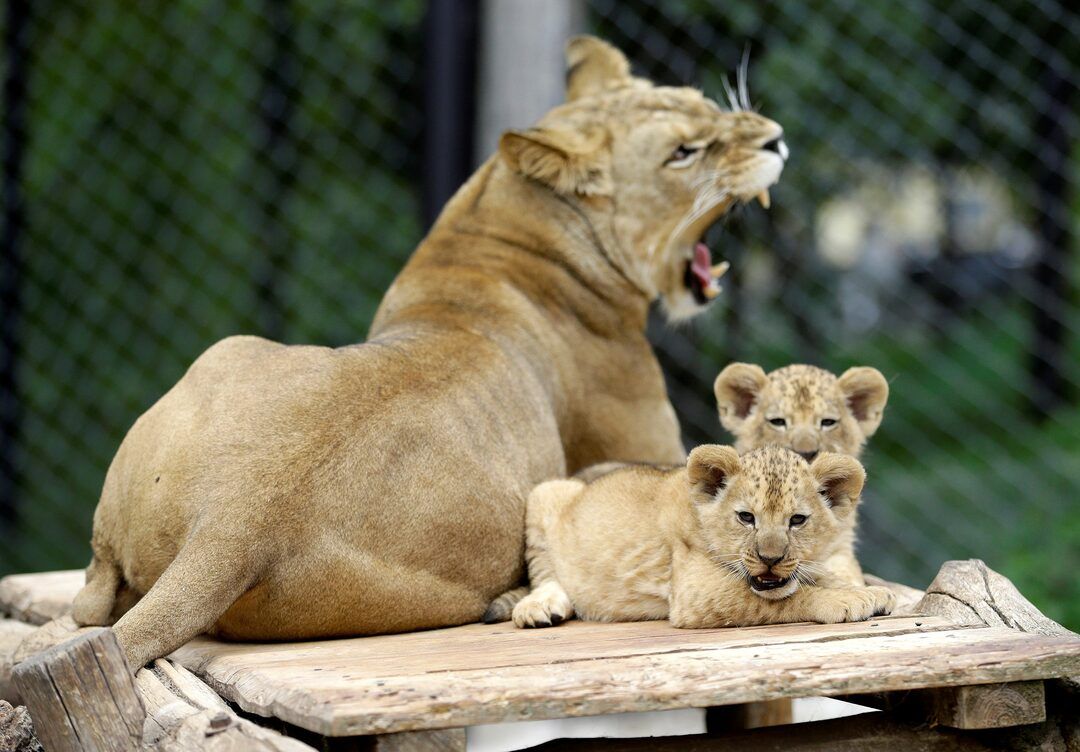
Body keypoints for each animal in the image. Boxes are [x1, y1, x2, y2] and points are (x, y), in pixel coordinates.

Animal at [71, 36, 788, 670]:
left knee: (89, 603)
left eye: (705, 101)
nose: (776, 138)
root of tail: (233, 526)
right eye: (684, 152)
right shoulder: (652, 449)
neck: (506, 220)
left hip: (217, 361)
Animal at [509, 445, 895, 629]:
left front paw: (870, 591)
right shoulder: (695, 593)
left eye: (797, 520)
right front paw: (844, 601)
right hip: (546, 494)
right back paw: (541, 607)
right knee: (545, 573)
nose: (770, 560)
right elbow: (784, 599)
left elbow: (819, 575)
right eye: (746, 518)